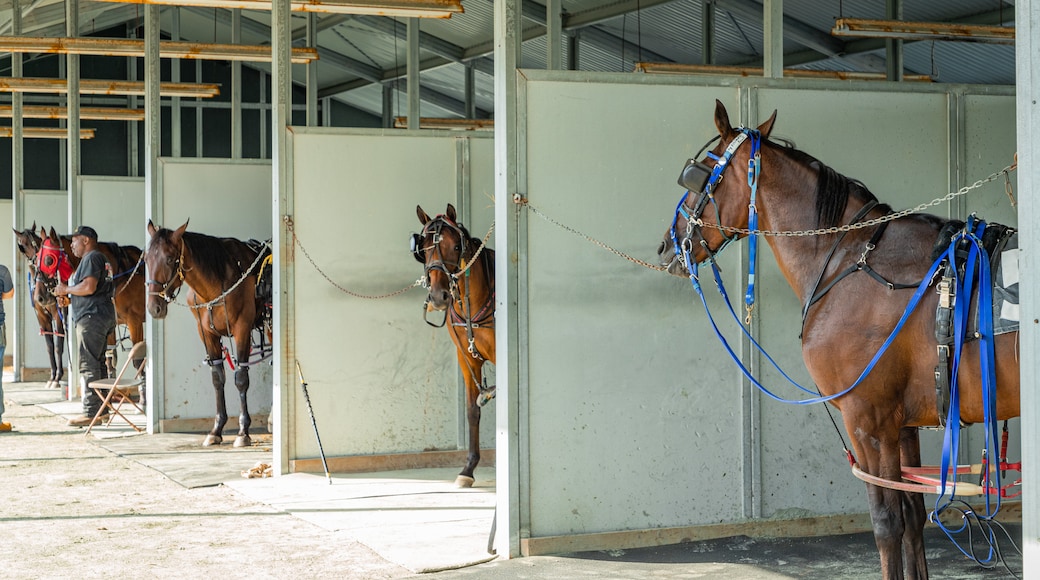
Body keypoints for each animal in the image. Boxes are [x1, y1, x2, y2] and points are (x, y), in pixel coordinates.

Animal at [144, 220, 272, 446]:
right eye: (146, 259)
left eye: (169, 259)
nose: (153, 307)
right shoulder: (206, 333)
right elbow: (217, 378)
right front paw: (216, 429)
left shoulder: (242, 329)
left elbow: (241, 379)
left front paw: (243, 431)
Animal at [413, 206, 495, 488]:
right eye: (423, 248)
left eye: (457, 245)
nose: (439, 297)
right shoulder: (467, 358)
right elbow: (472, 411)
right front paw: (468, 468)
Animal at [653, 99, 1019, 580]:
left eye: (697, 174)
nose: (667, 246)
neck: (849, 259)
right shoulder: (903, 426)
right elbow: (913, 517)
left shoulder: (869, 422)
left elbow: (888, 522)